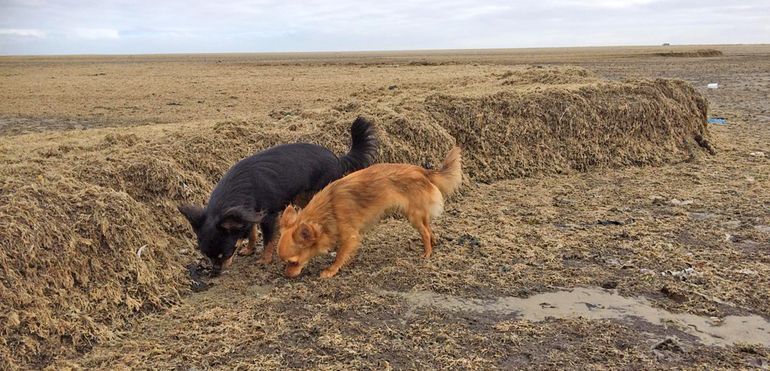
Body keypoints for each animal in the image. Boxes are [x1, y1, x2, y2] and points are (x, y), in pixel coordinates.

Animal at [178, 117, 376, 274]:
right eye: (207, 255)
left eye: (225, 254)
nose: (216, 272)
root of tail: (337, 158)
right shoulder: (248, 213)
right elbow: (251, 233)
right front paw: (249, 249)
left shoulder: (268, 216)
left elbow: (267, 240)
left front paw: (265, 260)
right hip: (302, 197)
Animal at [280, 147, 460, 278]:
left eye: (293, 262)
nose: (287, 275)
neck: (329, 209)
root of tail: (423, 171)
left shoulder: (350, 236)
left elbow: (340, 255)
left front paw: (331, 270)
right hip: (417, 213)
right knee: (428, 227)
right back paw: (434, 243)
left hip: (413, 216)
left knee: (425, 233)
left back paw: (427, 253)